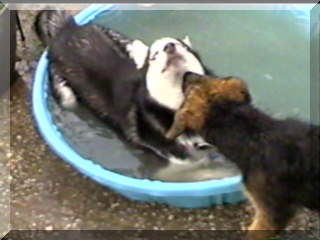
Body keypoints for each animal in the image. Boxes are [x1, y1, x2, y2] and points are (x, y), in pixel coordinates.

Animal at [35, 11, 215, 165]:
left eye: (184, 47)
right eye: (154, 56)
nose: (170, 46)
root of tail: (67, 29)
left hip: (122, 39)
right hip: (66, 94)